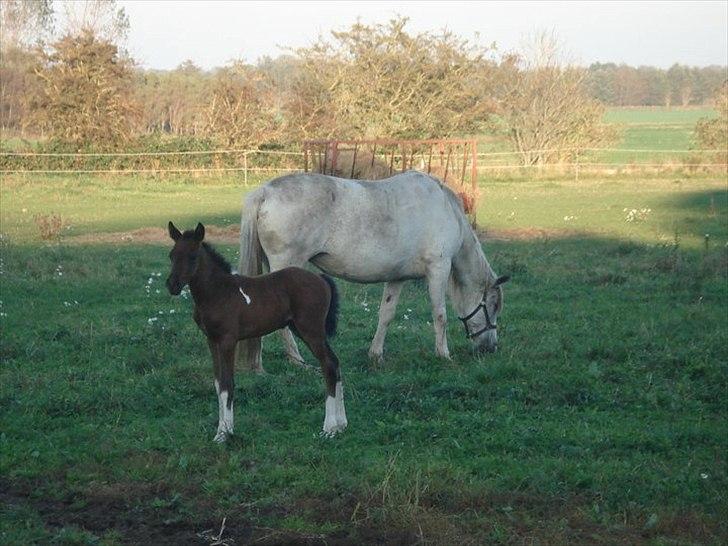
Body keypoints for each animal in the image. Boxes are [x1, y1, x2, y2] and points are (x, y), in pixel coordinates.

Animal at [166, 222, 348, 442]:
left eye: (193, 256)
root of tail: (321, 279)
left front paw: (224, 433)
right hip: (304, 330)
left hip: (311, 331)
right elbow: (218, 383)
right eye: (172, 255)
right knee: (335, 362)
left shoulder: (228, 340)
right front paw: (223, 429)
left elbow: (227, 384)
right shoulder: (212, 340)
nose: (172, 285)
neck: (218, 292)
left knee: (328, 365)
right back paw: (341, 425)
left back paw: (329, 427)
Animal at [237, 170, 506, 370]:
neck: (445, 209)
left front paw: (376, 354)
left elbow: (386, 314)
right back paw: (297, 360)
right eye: (493, 306)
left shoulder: (397, 277)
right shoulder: (438, 268)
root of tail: (266, 191)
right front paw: (443, 354)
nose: (491, 347)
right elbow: (440, 314)